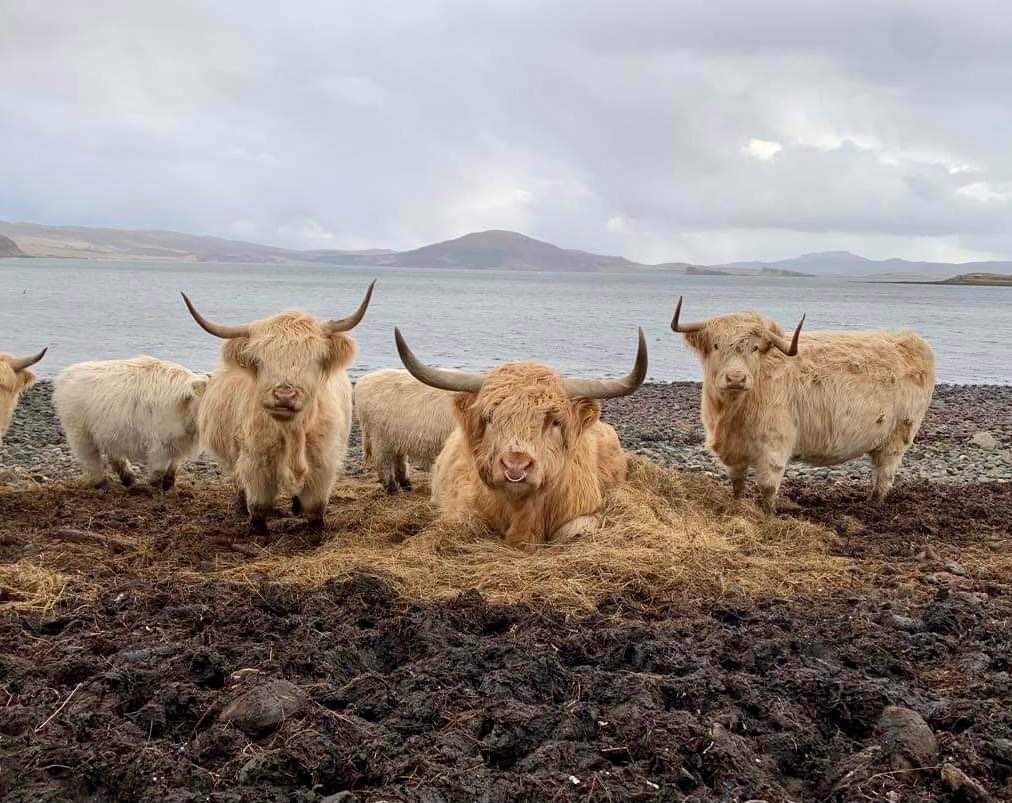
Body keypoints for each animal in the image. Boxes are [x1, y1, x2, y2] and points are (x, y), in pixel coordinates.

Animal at [53, 356, 209, 488]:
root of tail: (66, 374)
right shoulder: (160, 444)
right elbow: (158, 471)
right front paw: (153, 488)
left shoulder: (181, 444)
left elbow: (174, 467)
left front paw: (168, 485)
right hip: (79, 432)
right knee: (90, 458)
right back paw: (102, 484)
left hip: (109, 431)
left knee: (114, 456)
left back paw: (129, 480)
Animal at [394, 322, 647, 546]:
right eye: (489, 417)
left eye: (554, 421)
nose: (515, 466)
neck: (521, 511)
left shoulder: (587, 512)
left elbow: (573, 531)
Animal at [671, 295, 931, 514]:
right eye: (716, 345)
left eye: (754, 348)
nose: (736, 378)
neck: (731, 413)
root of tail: (909, 340)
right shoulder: (735, 453)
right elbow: (737, 484)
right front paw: (736, 506)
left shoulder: (774, 447)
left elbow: (768, 488)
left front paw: (767, 516)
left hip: (898, 436)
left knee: (885, 474)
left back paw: (873, 506)